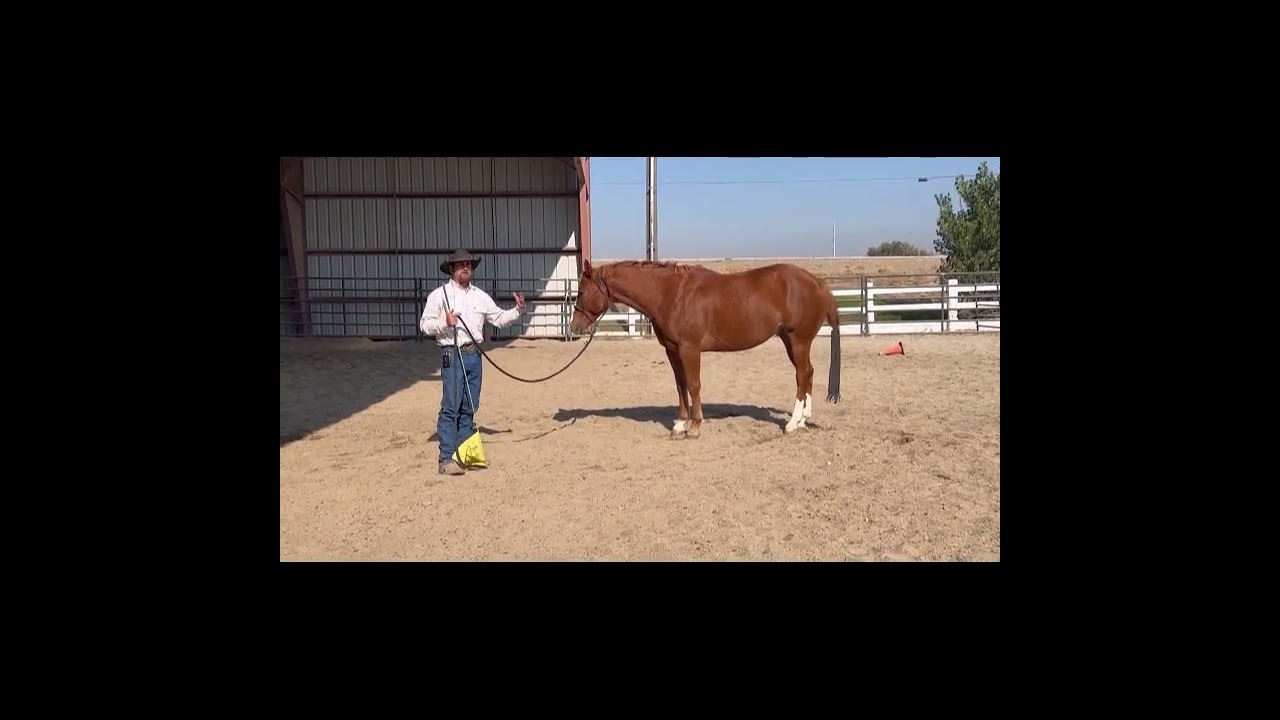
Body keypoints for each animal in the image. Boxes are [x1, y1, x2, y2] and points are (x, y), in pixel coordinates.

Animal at [569, 259, 842, 439]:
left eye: (581, 292)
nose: (574, 328)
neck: (670, 294)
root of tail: (819, 284)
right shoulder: (672, 350)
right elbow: (680, 385)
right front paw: (679, 425)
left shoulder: (689, 349)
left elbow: (694, 384)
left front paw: (695, 426)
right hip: (791, 341)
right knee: (808, 373)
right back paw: (804, 420)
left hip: (798, 341)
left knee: (802, 375)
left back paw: (793, 423)